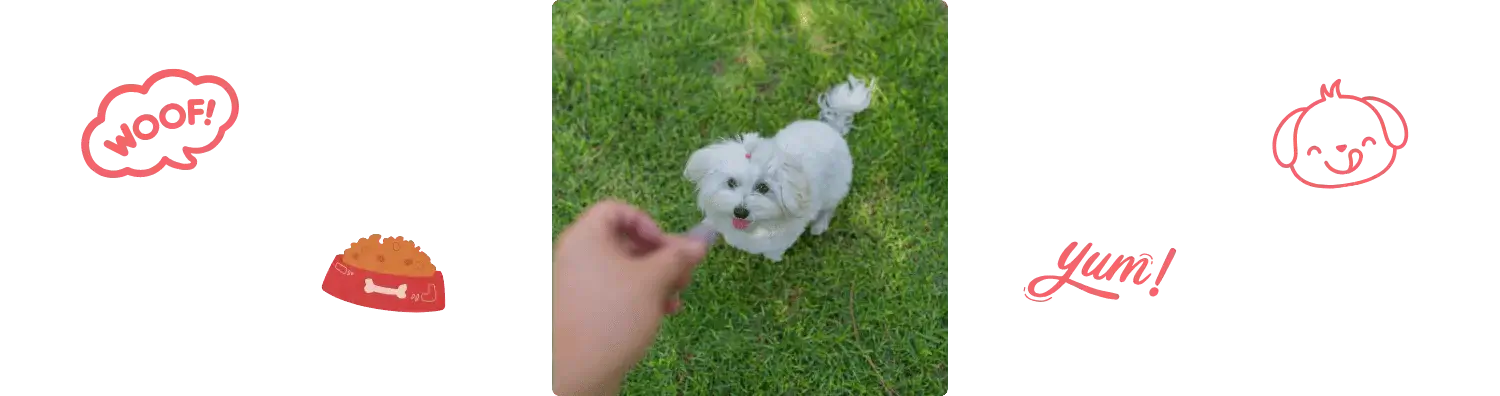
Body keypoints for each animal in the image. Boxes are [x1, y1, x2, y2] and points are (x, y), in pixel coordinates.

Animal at [687, 75, 876, 261]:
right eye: (731, 183)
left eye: (763, 187)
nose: (740, 211)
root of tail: (831, 128)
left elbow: (774, 250)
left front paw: (773, 258)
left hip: (834, 187)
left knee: (829, 207)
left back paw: (819, 226)